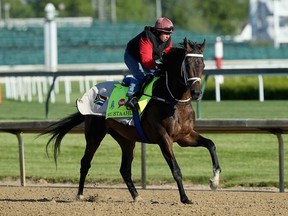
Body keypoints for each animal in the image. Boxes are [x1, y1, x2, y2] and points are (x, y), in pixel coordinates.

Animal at [42, 38, 220, 204]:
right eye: (188, 64)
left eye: (203, 65)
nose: (196, 93)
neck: (174, 101)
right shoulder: (164, 138)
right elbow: (176, 170)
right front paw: (185, 198)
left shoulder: (185, 137)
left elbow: (210, 144)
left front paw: (214, 181)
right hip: (95, 134)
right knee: (86, 162)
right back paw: (79, 194)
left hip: (126, 139)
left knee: (124, 170)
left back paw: (136, 196)